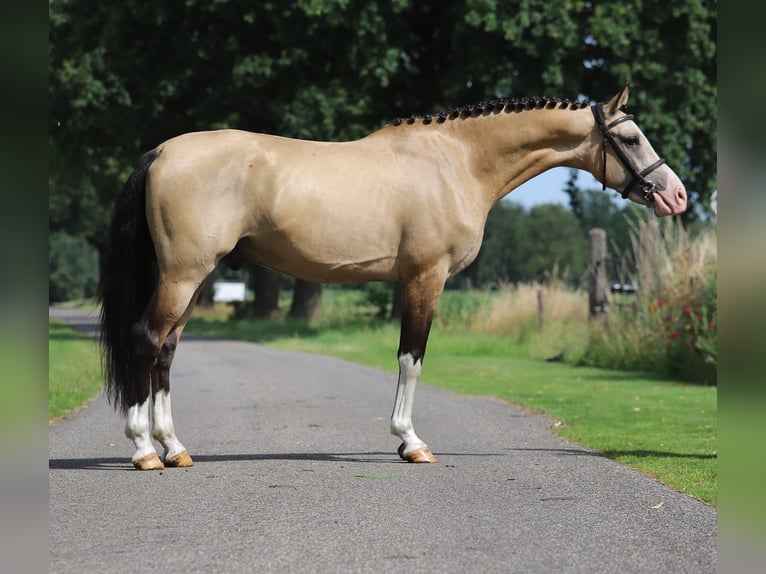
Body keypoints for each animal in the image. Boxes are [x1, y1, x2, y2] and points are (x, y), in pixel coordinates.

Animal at [97, 84, 688, 472]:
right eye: (632, 138)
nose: (677, 195)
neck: (456, 161)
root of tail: (161, 152)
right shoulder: (426, 277)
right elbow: (412, 357)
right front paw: (410, 442)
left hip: (192, 280)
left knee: (166, 351)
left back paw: (175, 448)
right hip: (183, 275)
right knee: (145, 340)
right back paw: (144, 450)